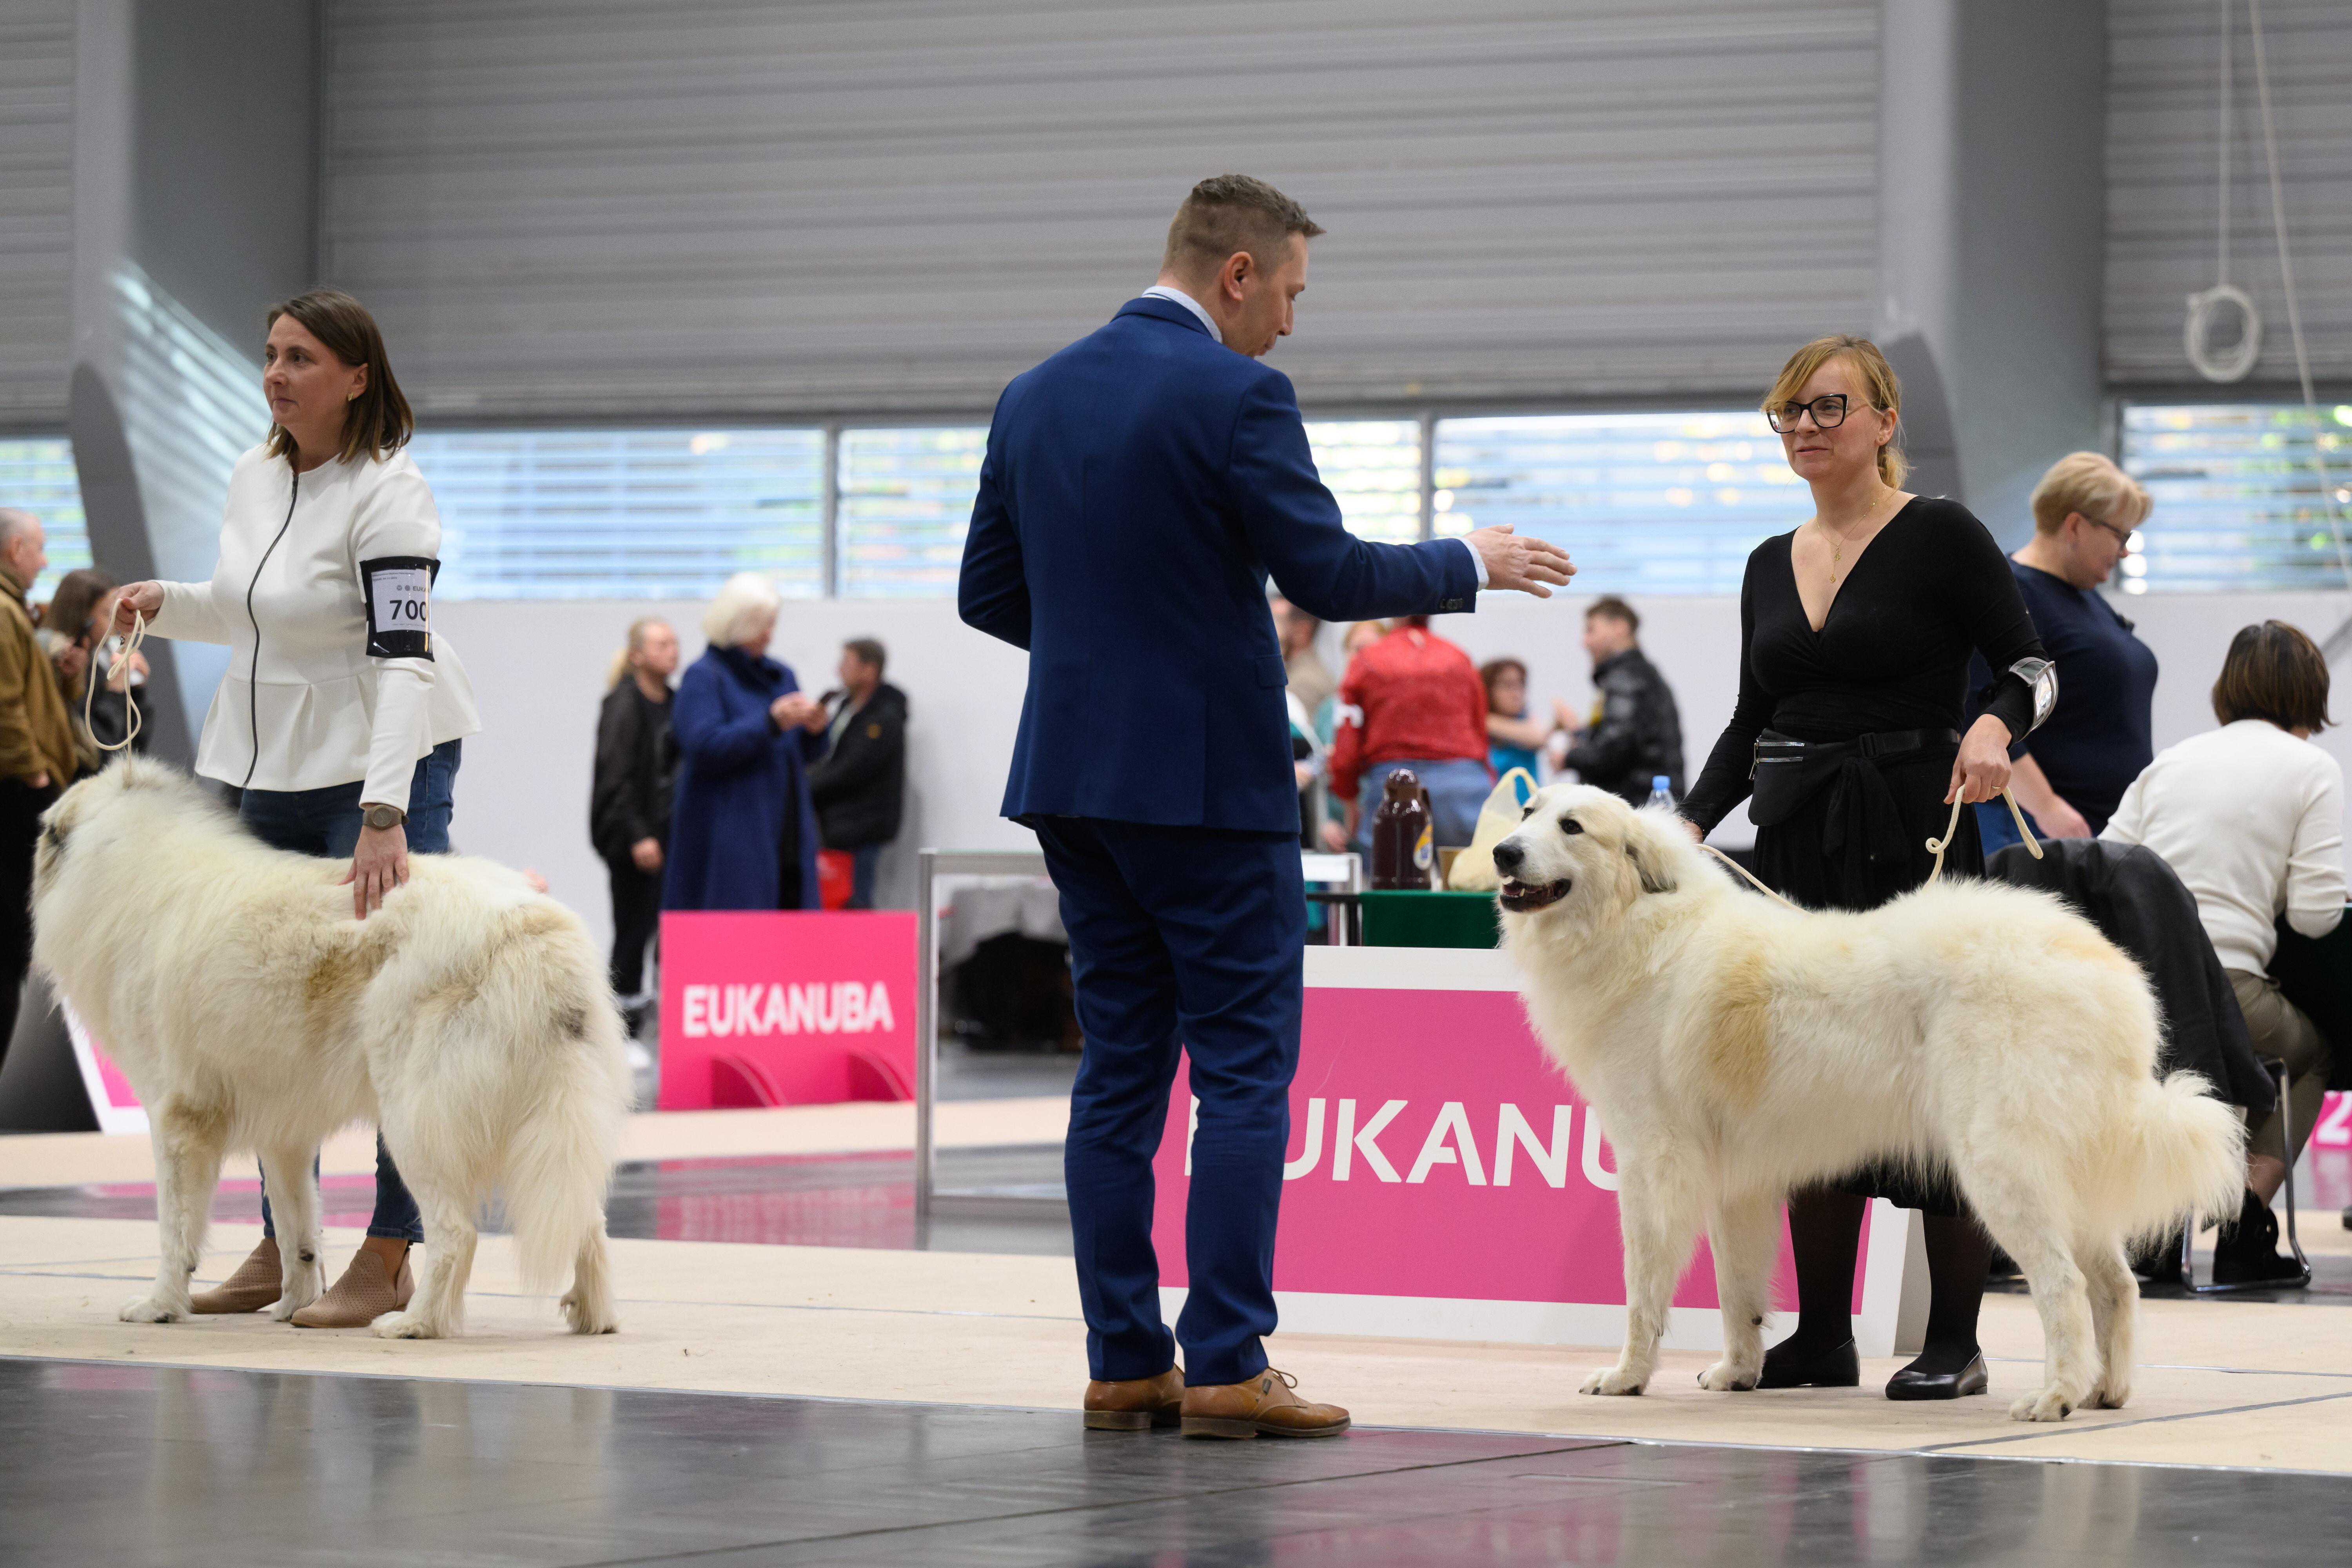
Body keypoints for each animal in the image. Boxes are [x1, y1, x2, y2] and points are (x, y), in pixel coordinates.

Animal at [32, 758, 632, 1340]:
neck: (126, 862)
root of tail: (533, 925)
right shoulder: (283, 1131)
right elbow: (297, 1229)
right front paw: (294, 1306)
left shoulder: (176, 1121)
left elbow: (174, 1231)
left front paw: (160, 1306)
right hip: (556, 1123)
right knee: (585, 1217)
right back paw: (593, 1317)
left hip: (415, 1122)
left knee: (455, 1233)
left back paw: (415, 1323)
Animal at [1493, 784, 2245, 1422]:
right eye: (1527, 810)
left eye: (1571, 827)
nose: (1503, 852)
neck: (1638, 919)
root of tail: (2107, 974)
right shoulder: (1740, 1184)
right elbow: (1740, 1291)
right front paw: (1739, 1372)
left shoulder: (1654, 1163)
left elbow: (1642, 1287)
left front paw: (1627, 1376)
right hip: (2068, 1175)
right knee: (2116, 1285)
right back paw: (2104, 1393)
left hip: (2001, 1166)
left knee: (2063, 1287)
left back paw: (2053, 1396)